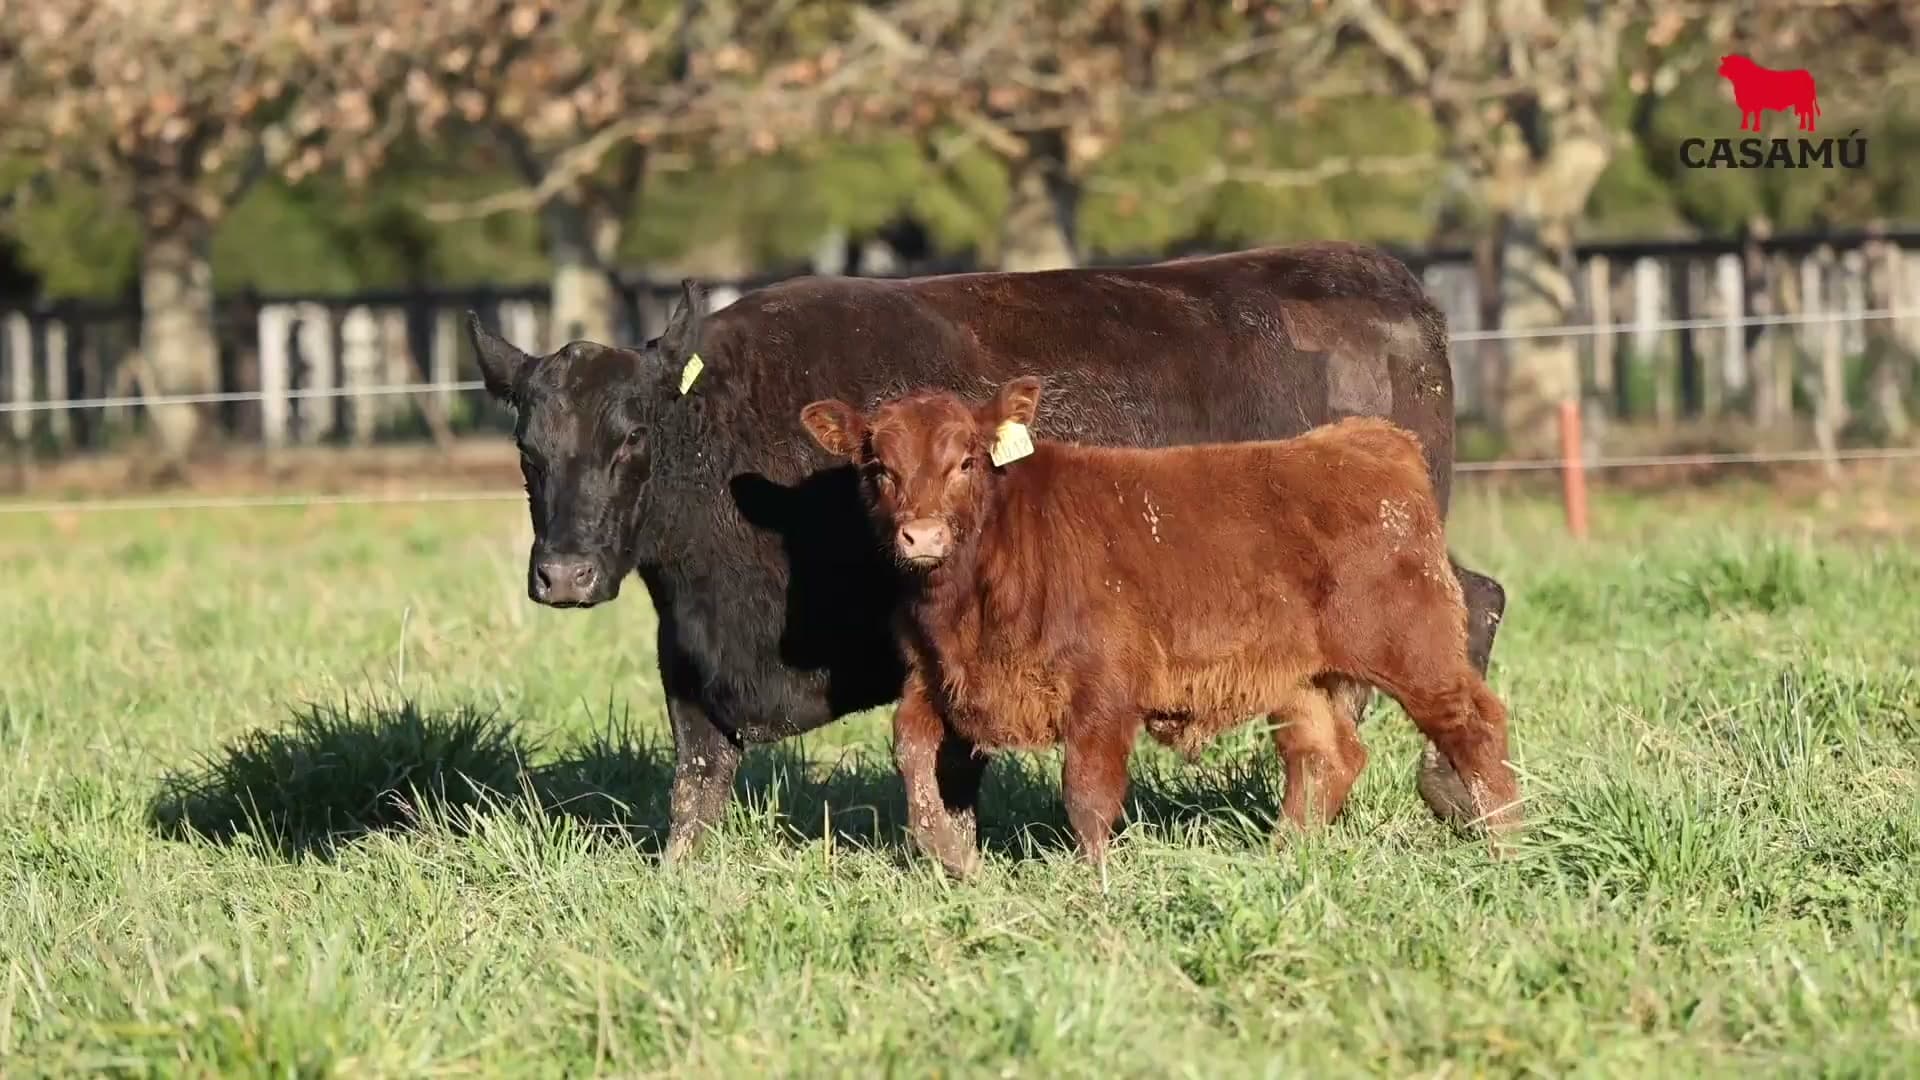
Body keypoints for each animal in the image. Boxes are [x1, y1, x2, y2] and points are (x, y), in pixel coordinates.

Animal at [799, 378, 1523, 878]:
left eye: (967, 462)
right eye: (879, 469)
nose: (920, 536)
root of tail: (1367, 441)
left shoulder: (1103, 691)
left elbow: (1087, 794)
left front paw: (1095, 884)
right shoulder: (936, 676)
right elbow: (912, 749)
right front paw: (950, 855)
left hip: (1414, 648)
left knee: (1474, 725)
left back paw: (1507, 846)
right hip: (1301, 678)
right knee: (1325, 756)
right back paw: (1283, 856)